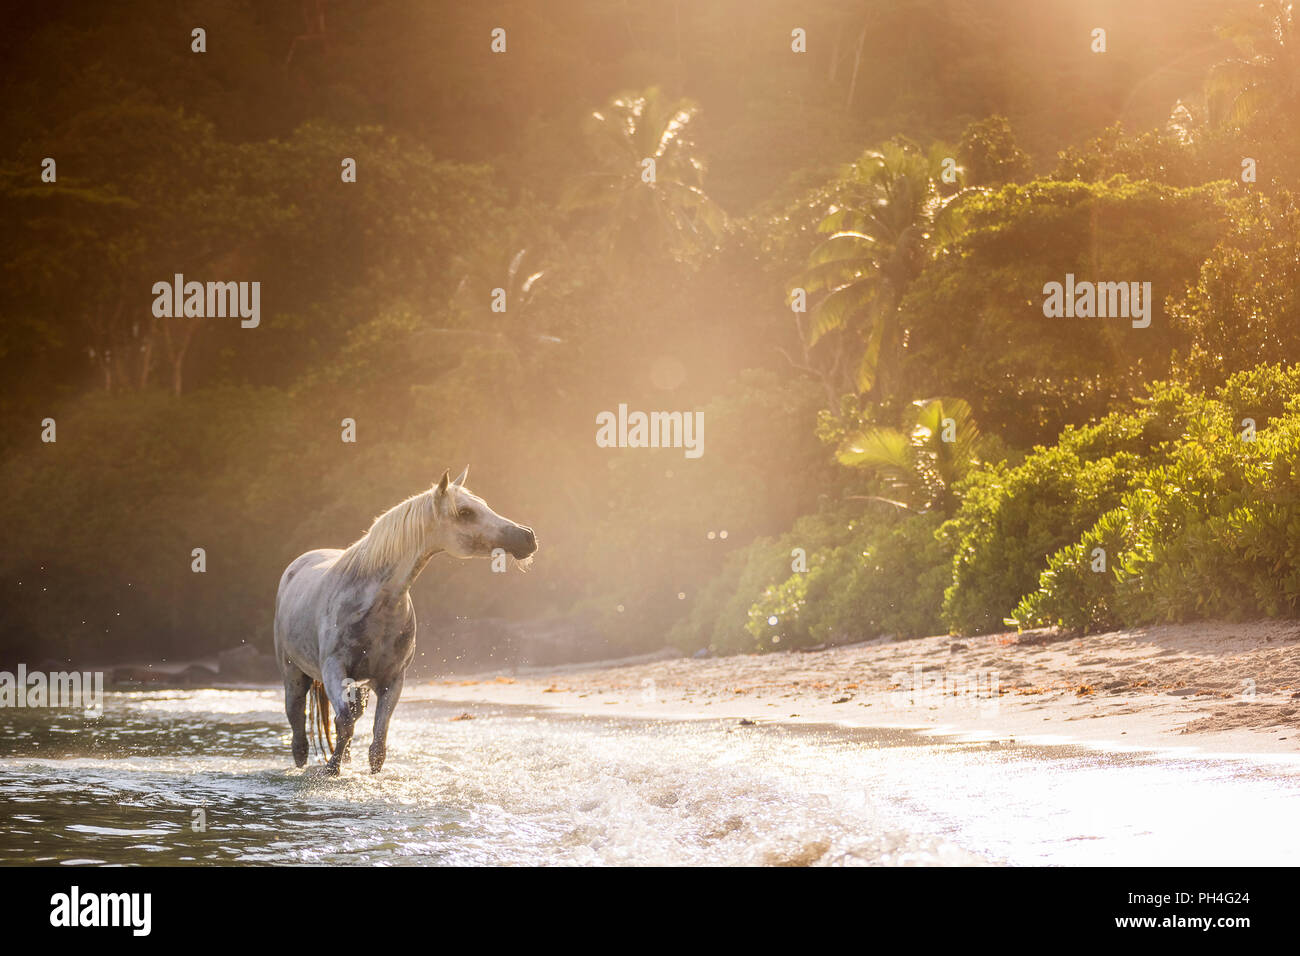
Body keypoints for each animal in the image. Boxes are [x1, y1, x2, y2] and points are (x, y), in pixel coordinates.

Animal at [271, 468, 535, 775]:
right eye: (466, 512)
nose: (527, 536)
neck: (377, 600)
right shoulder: (334, 669)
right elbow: (345, 723)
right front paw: (331, 771)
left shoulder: (393, 678)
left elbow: (377, 742)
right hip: (294, 676)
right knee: (299, 728)